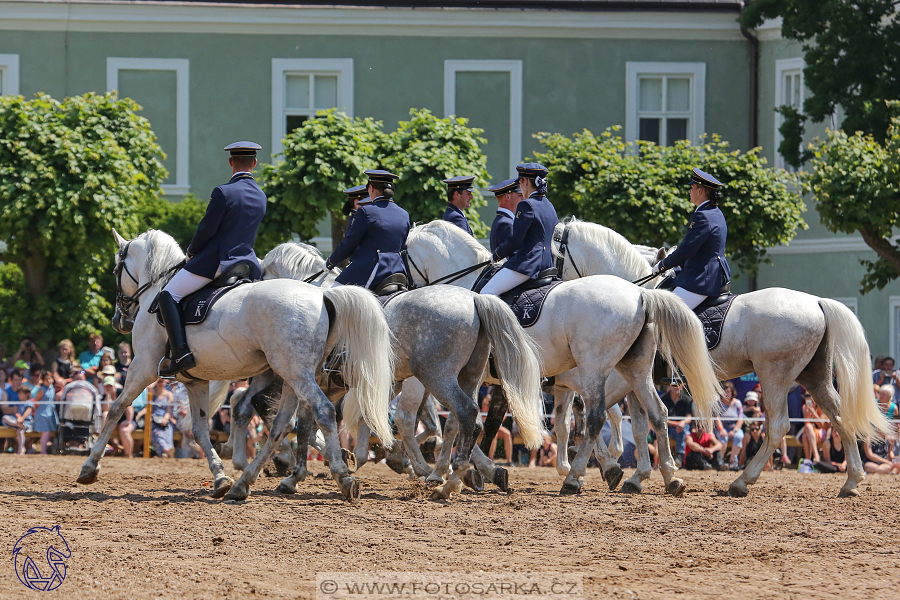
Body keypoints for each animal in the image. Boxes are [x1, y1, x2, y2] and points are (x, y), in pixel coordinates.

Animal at [79, 230, 396, 502]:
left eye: (115, 270)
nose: (119, 321)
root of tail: (323, 294)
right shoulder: (195, 380)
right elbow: (200, 430)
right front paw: (220, 478)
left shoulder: (141, 367)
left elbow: (115, 409)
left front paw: (90, 466)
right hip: (291, 375)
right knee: (282, 423)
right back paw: (247, 482)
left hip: (296, 374)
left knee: (321, 412)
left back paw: (341, 476)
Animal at [400, 223, 724, 494]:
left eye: (403, 256)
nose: (404, 290)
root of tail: (641, 296)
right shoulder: (552, 384)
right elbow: (559, 424)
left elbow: (462, 420)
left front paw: (459, 472)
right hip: (635, 370)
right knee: (656, 414)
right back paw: (668, 478)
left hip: (597, 369)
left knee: (598, 418)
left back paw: (575, 478)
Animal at [548, 218, 892, 500]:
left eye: (554, 255)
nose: (549, 283)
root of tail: (817, 302)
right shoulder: (634, 379)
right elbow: (640, 424)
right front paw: (635, 475)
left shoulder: (621, 378)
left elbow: (596, 414)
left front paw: (602, 467)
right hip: (814, 376)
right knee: (839, 417)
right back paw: (851, 482)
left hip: (775, 376)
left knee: (778, 426)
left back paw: (741, 481)